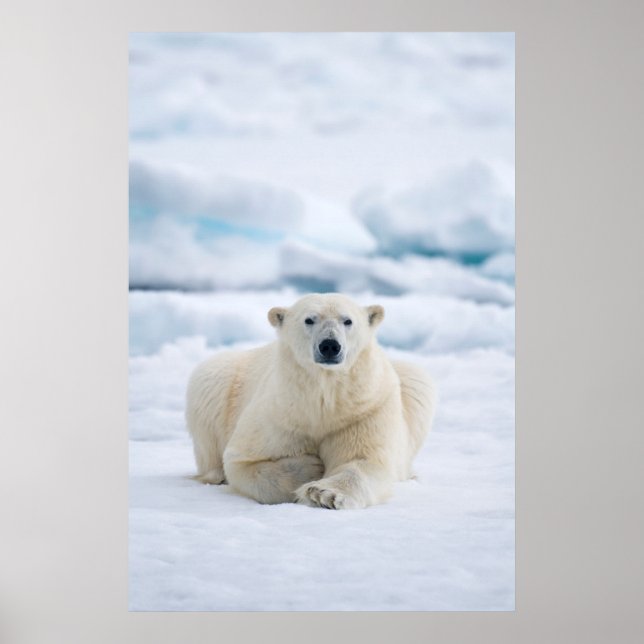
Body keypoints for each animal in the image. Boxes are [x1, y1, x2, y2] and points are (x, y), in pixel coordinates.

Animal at [185, 293, 435, 509]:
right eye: (309, 319)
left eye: (348, 320)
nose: (330, 345)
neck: (322, 400)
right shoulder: (279, 412)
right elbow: (242, 461)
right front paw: (311, 467)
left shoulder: (364, 409)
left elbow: (364, 460)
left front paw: (323, 493)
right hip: (220, 377)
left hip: (410, 383)